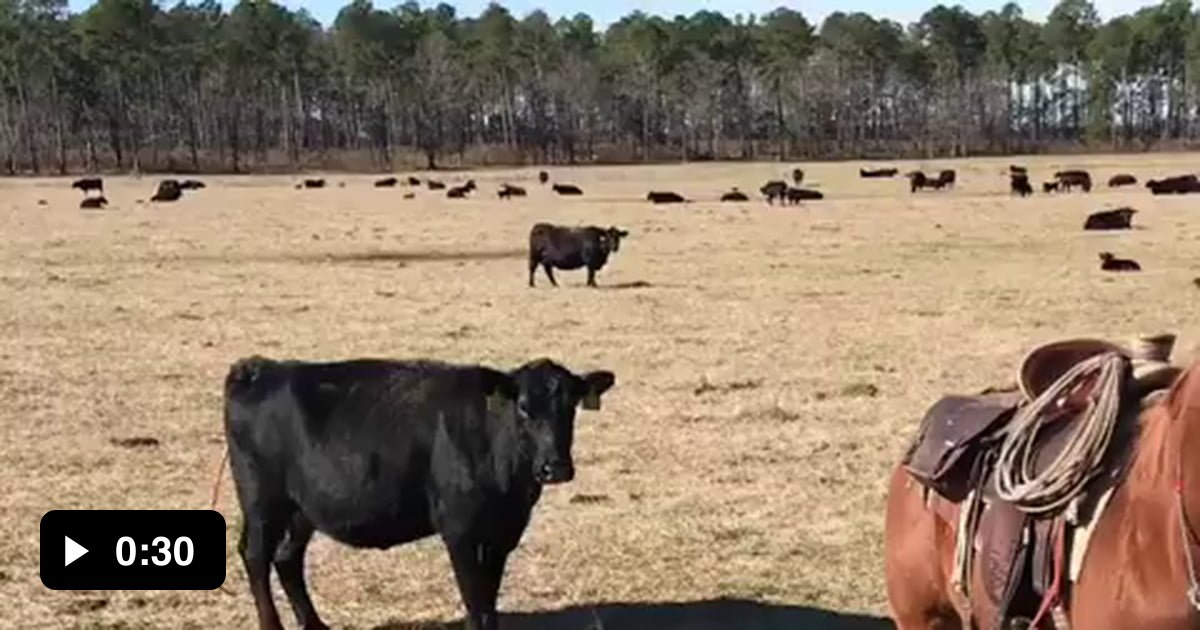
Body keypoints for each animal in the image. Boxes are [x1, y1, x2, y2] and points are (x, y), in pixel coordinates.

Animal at [223, 355, 616, 630]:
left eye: (570, 406)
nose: (555, 467)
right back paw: (272, 625)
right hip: (262, 501)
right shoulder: (460, 531)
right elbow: (476, 605)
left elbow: (489, 602)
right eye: (523, 408)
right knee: (255, 556)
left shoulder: (502, 534)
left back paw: (317, 626)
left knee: (287, 558)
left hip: (300, 509)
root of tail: (258, 369)